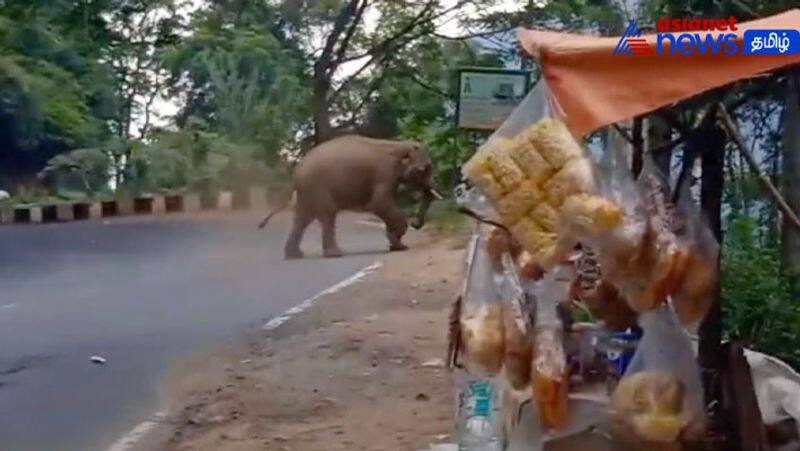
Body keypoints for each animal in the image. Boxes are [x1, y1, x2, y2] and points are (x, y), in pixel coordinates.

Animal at [260, 134, 440, 260]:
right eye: (424, 169)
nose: (415, 224)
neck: (398, 145)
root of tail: (296, 173)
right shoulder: (383, 173)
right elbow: (378, 204)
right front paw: (399, 246)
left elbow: (384, 206)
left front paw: (396, 245)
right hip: (317, 188)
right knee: (327, 216)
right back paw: (335, 254)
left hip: (308, 191)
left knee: (303, 219)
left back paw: (295, 255)